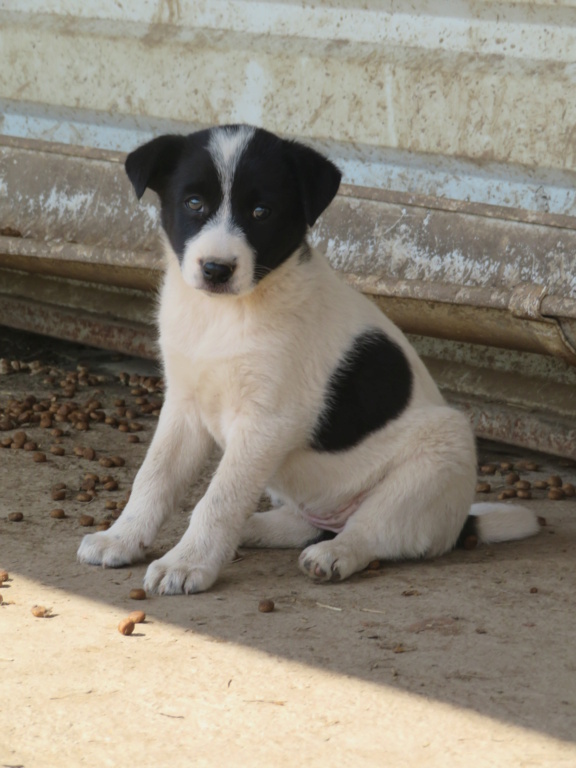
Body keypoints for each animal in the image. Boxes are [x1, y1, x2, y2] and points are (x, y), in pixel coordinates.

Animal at [77, 124, 540, 592]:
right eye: (193, 203)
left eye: (261, 211)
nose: (216, 270)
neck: (225, 314)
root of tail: (460, 522)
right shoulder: (184, 404)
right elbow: (153, 477)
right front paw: (122, 538)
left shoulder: (266, 421)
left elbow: (220, 498)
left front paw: (187, 563)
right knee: (304, 522)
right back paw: (255, 529)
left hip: (441, 451)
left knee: (373, 531)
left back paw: (335, 553)